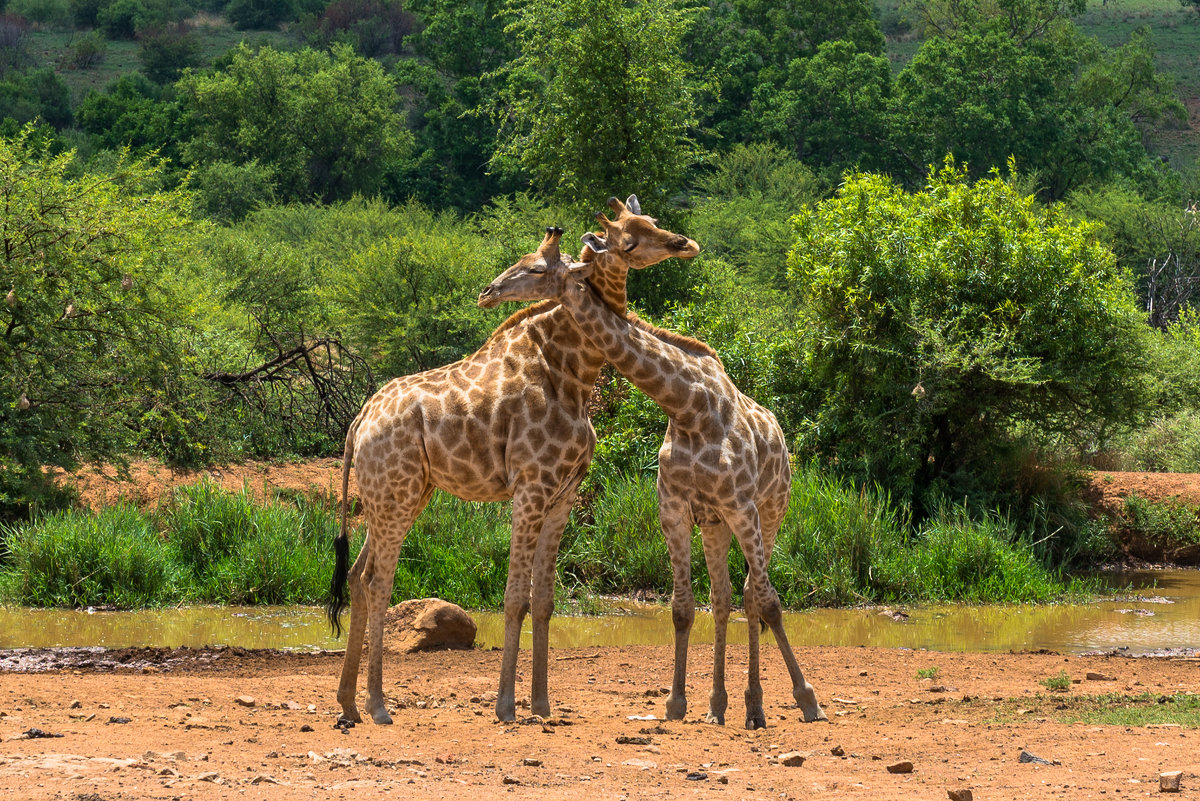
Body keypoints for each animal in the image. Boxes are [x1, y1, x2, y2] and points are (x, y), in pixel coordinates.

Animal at [328, 195, 700, 724]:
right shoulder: (530, 487)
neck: (573, 370)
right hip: (396, 494)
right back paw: (378, 705)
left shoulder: (564, 494)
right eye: (629, 239)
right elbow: (513, 598)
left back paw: (348, 704)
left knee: (358, 577)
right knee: (380, 582)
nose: (683, 243)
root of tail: (359, 422)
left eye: (650, 224)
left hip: (401, 495)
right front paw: (506, 705)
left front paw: (541, 703)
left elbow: (543, 600)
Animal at [477, 227, 825, 729]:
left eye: (537, 268)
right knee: (725, 598)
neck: (688, 406)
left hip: (770, 511)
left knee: (753, 596)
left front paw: (807, 698)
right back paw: (721, 705)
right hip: (716, 522)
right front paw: (677, 703)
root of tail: (779, 430)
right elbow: (682, 609)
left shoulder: (742, 506)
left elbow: (769, 602)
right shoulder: (675, 509)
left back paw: (757, 706)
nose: (488, 292)